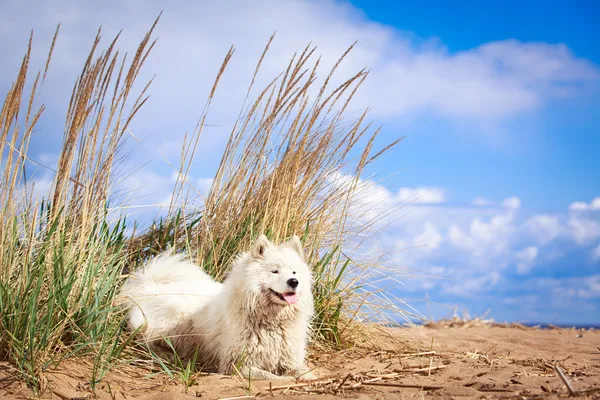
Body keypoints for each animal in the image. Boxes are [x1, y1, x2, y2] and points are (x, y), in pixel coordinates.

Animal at [117, 236, 314, 380]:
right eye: (275, 271)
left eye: (294, 272)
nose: (294, 282)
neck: (272, 320)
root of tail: (148, 288)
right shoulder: (236, 363)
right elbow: (270, 376)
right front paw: (285, 380)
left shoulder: (289, 359)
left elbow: (304, 371)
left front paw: (308, 377)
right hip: (172, 320)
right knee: (147, 343)